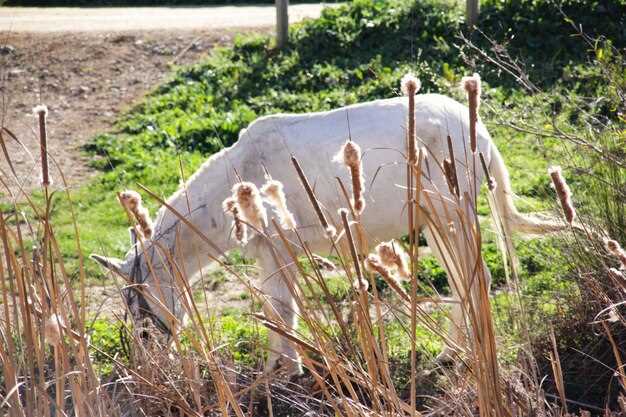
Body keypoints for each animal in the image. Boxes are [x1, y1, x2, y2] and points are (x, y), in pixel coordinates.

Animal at [92, 94, 564, 374]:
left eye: (139, 306)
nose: (150, 360)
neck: (240, 176)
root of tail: (479, 129)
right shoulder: (269, 252)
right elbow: (277, 308)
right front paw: (279, 371)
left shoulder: (281, 245)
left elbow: (282, 311)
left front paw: (282, 374)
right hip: (434, 221)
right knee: (463, 279)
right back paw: (451, 354)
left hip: (452, 211)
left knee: (476, 277)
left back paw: (467, 357)